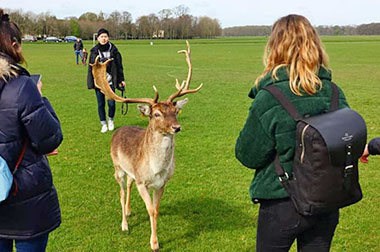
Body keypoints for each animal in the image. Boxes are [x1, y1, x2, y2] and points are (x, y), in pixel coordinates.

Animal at [90, 40, 202, 251]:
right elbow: (150, 210)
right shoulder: (143, 182)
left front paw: (155, 240)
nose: (176, 127)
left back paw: (128, 211)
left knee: (129, 185)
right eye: (156, 114)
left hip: (131, 171)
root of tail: (119, 129)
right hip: (117, 167)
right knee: (121, 191)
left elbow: (155, 210)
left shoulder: (162, 183)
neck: (156, 169)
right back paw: (124, 224)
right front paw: (154, 243)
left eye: (175, 111)